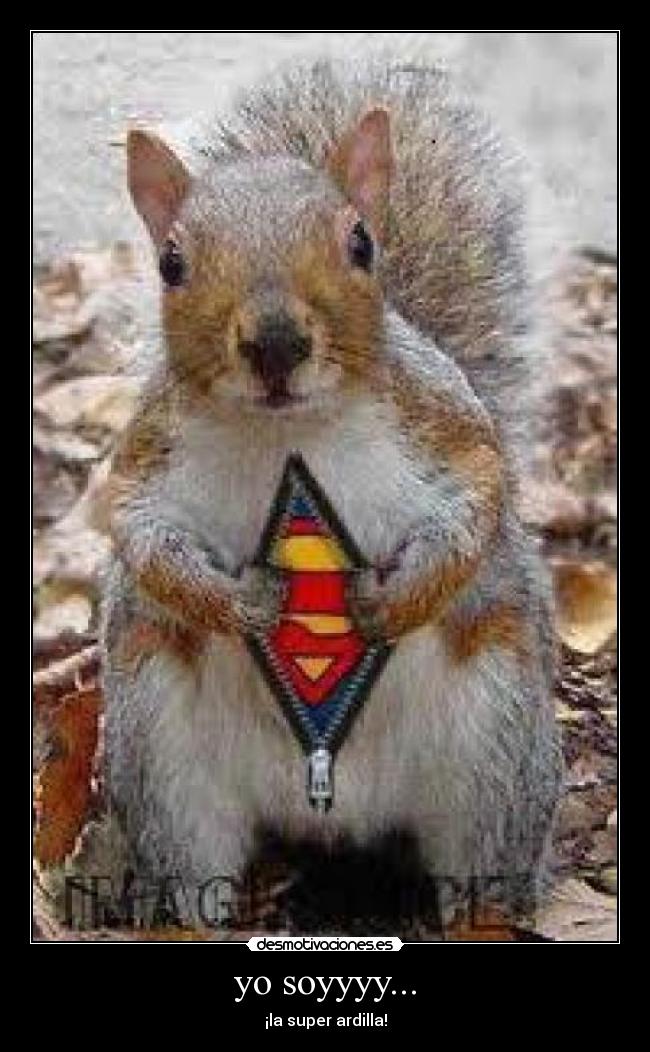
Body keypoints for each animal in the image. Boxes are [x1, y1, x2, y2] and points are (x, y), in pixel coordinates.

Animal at [98, 54, 562, 928]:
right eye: (172, 263)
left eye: (359, 242)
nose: (276, 343)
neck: (289, 434)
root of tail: (329, 804)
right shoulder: (144, 461)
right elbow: (144, 541)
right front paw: (241, 602)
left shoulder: (444, 423)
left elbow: (481, 497)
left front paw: (394, 600)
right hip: (160, 754)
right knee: (193, 878)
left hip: (498, 747)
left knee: (482, 878)